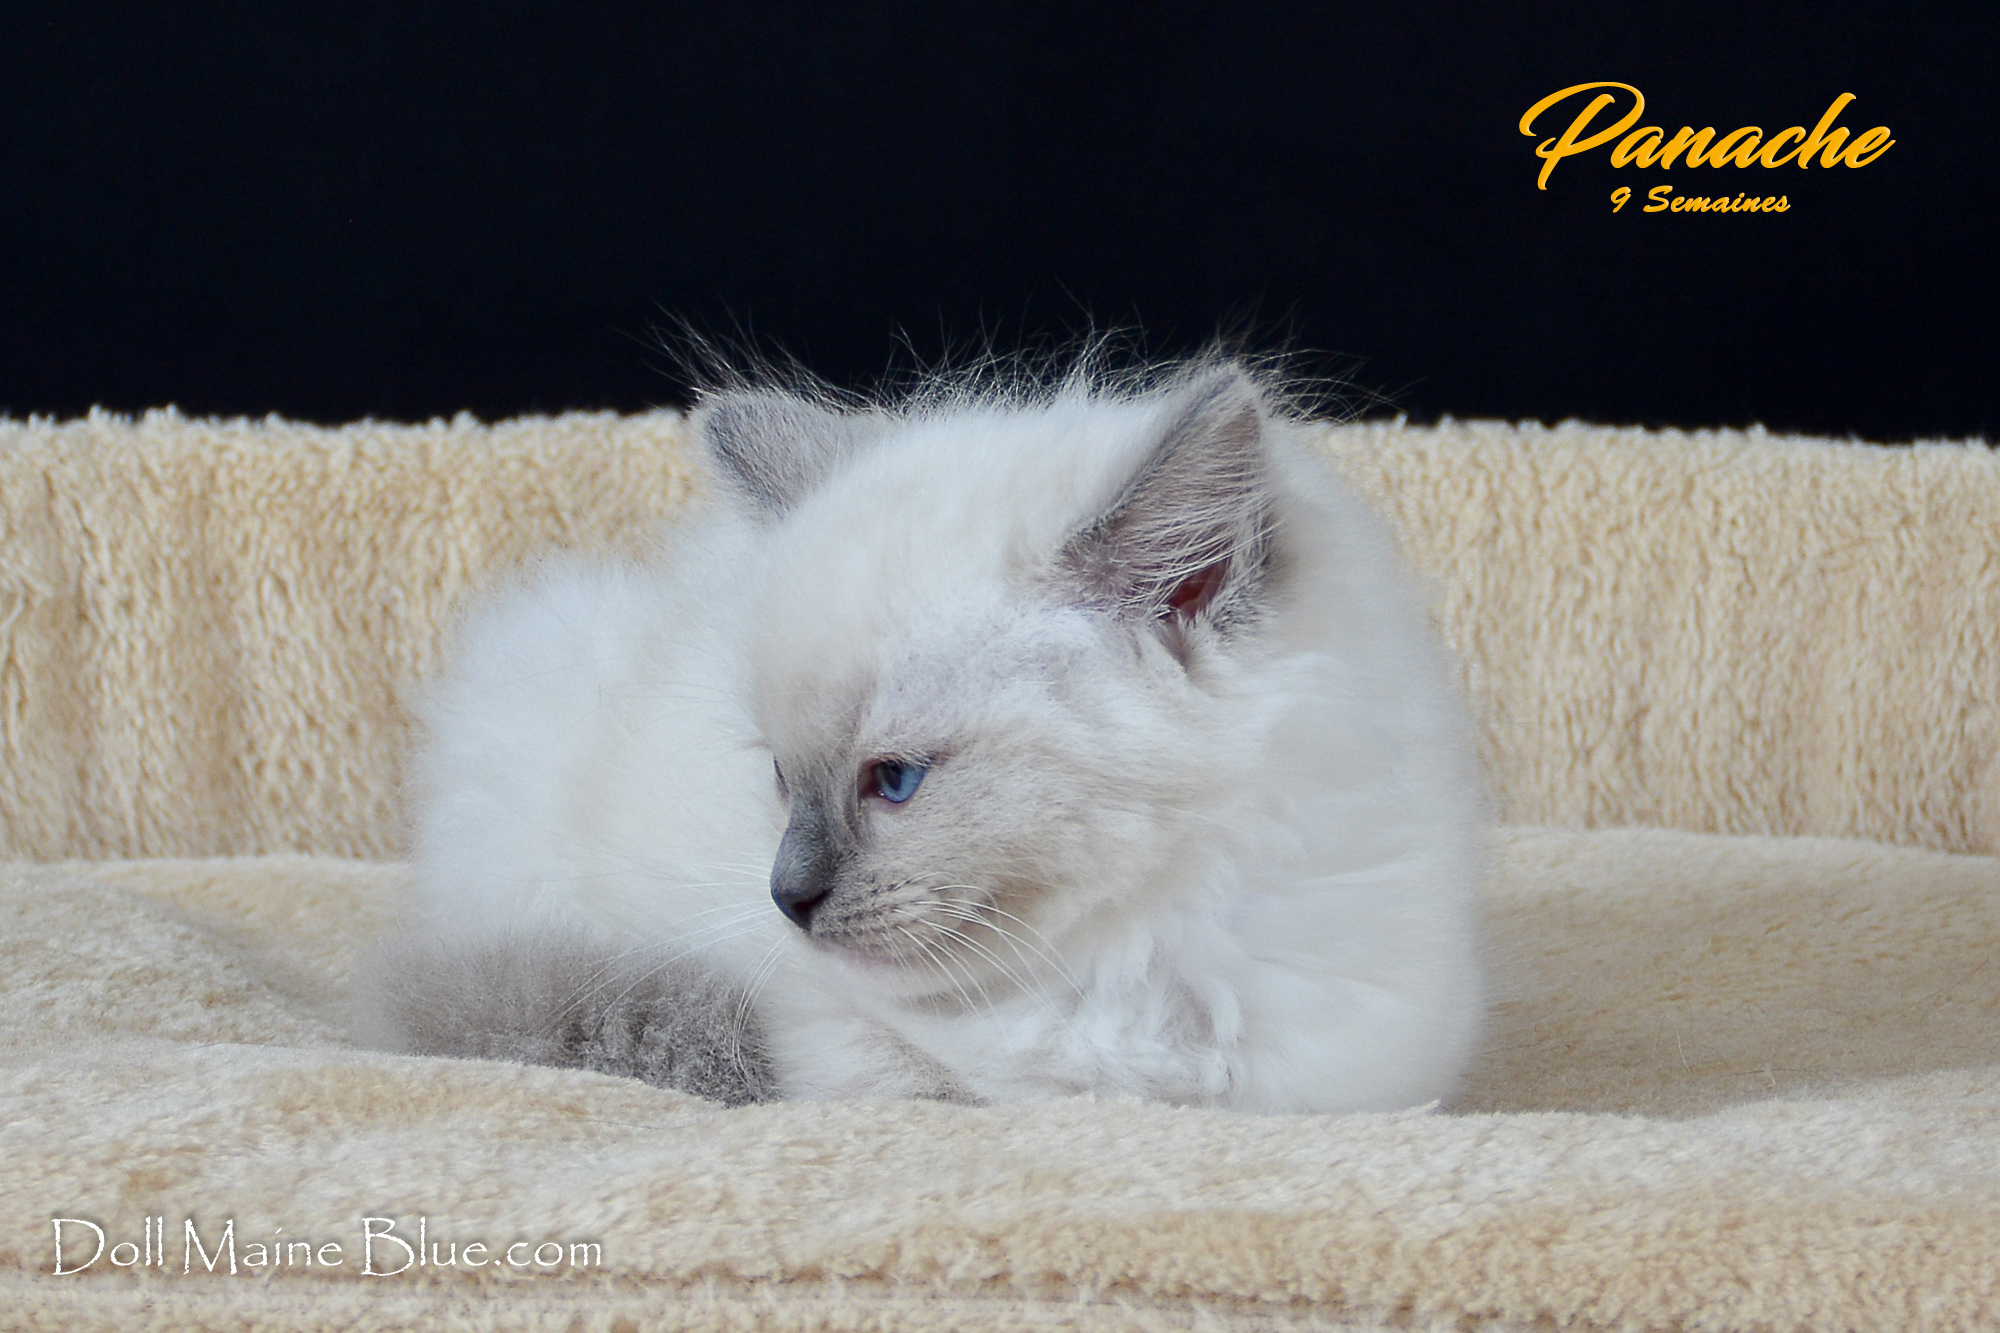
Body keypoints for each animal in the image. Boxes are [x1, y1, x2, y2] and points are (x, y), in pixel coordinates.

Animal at [365, 356, 1487, 1112]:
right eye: (781, 778)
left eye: (894, 780)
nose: (784, 897)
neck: (1129, 944)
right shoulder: (811, 1019)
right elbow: (913, 1079)